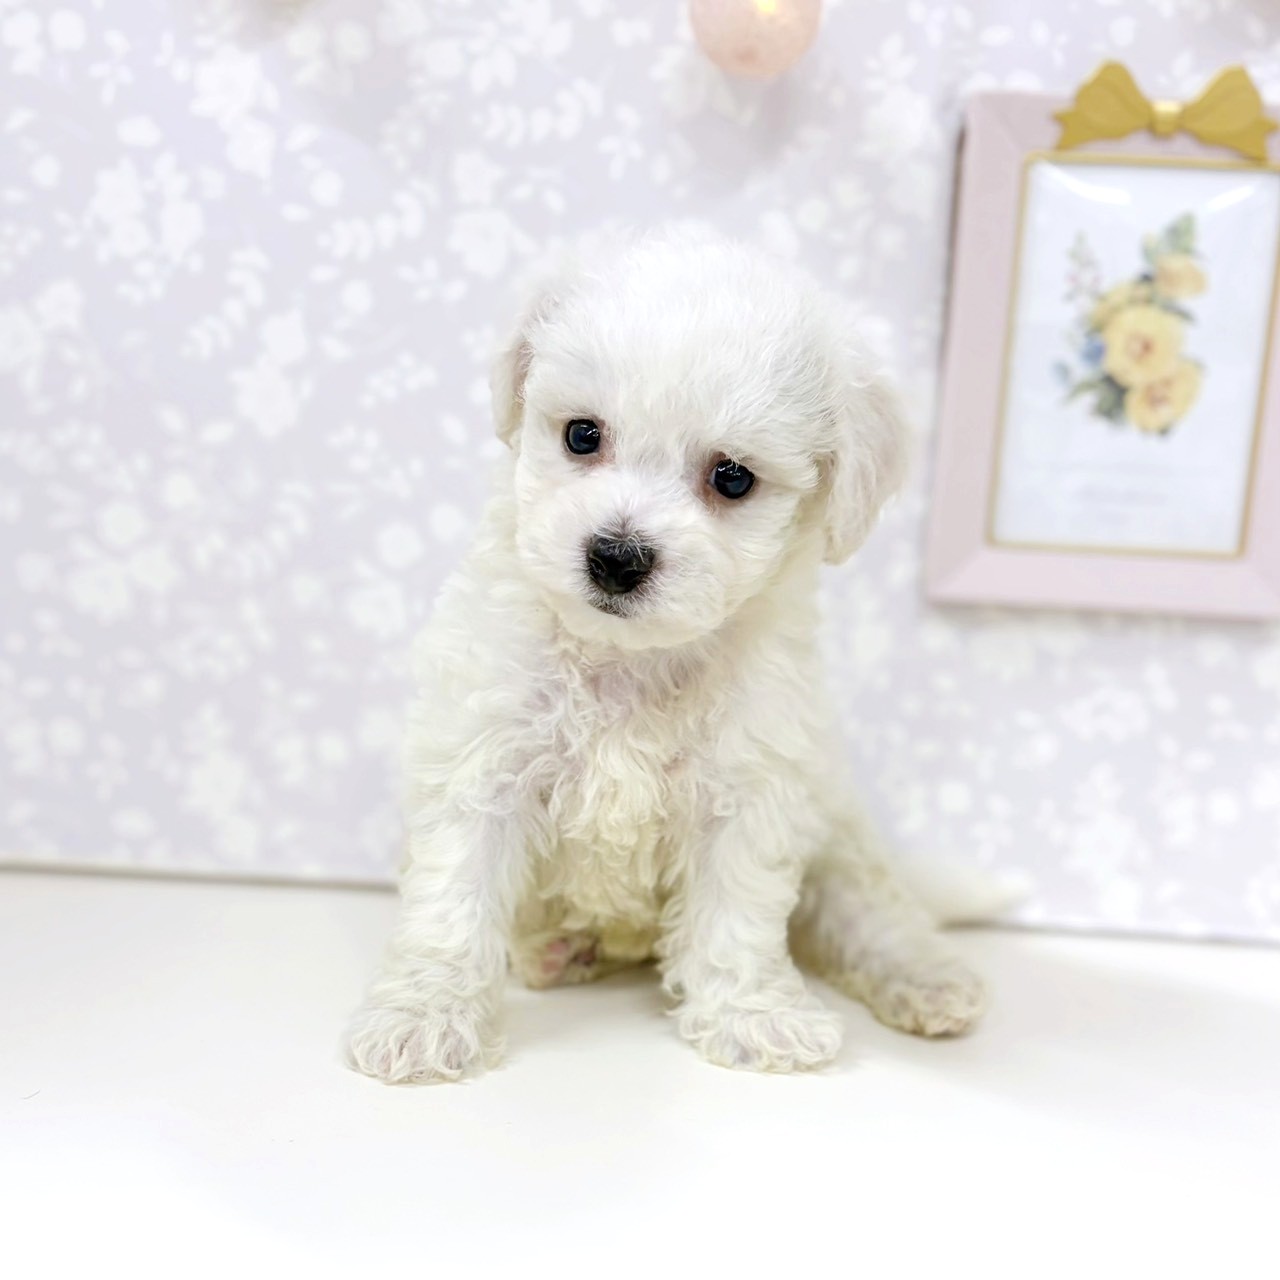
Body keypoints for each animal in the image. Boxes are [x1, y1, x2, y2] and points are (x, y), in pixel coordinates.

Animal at [346, 226, 988, 1082]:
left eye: (733, 478)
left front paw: (755, 1017)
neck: (630, 657)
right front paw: (423, 1017)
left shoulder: (749, 788)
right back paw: (555, 948)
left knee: (872, 912)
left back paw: (930, 979)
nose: (616, 557)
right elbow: (453, 904)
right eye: (583, 435)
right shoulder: (484, 761)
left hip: (838, 836)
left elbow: (738, 914)